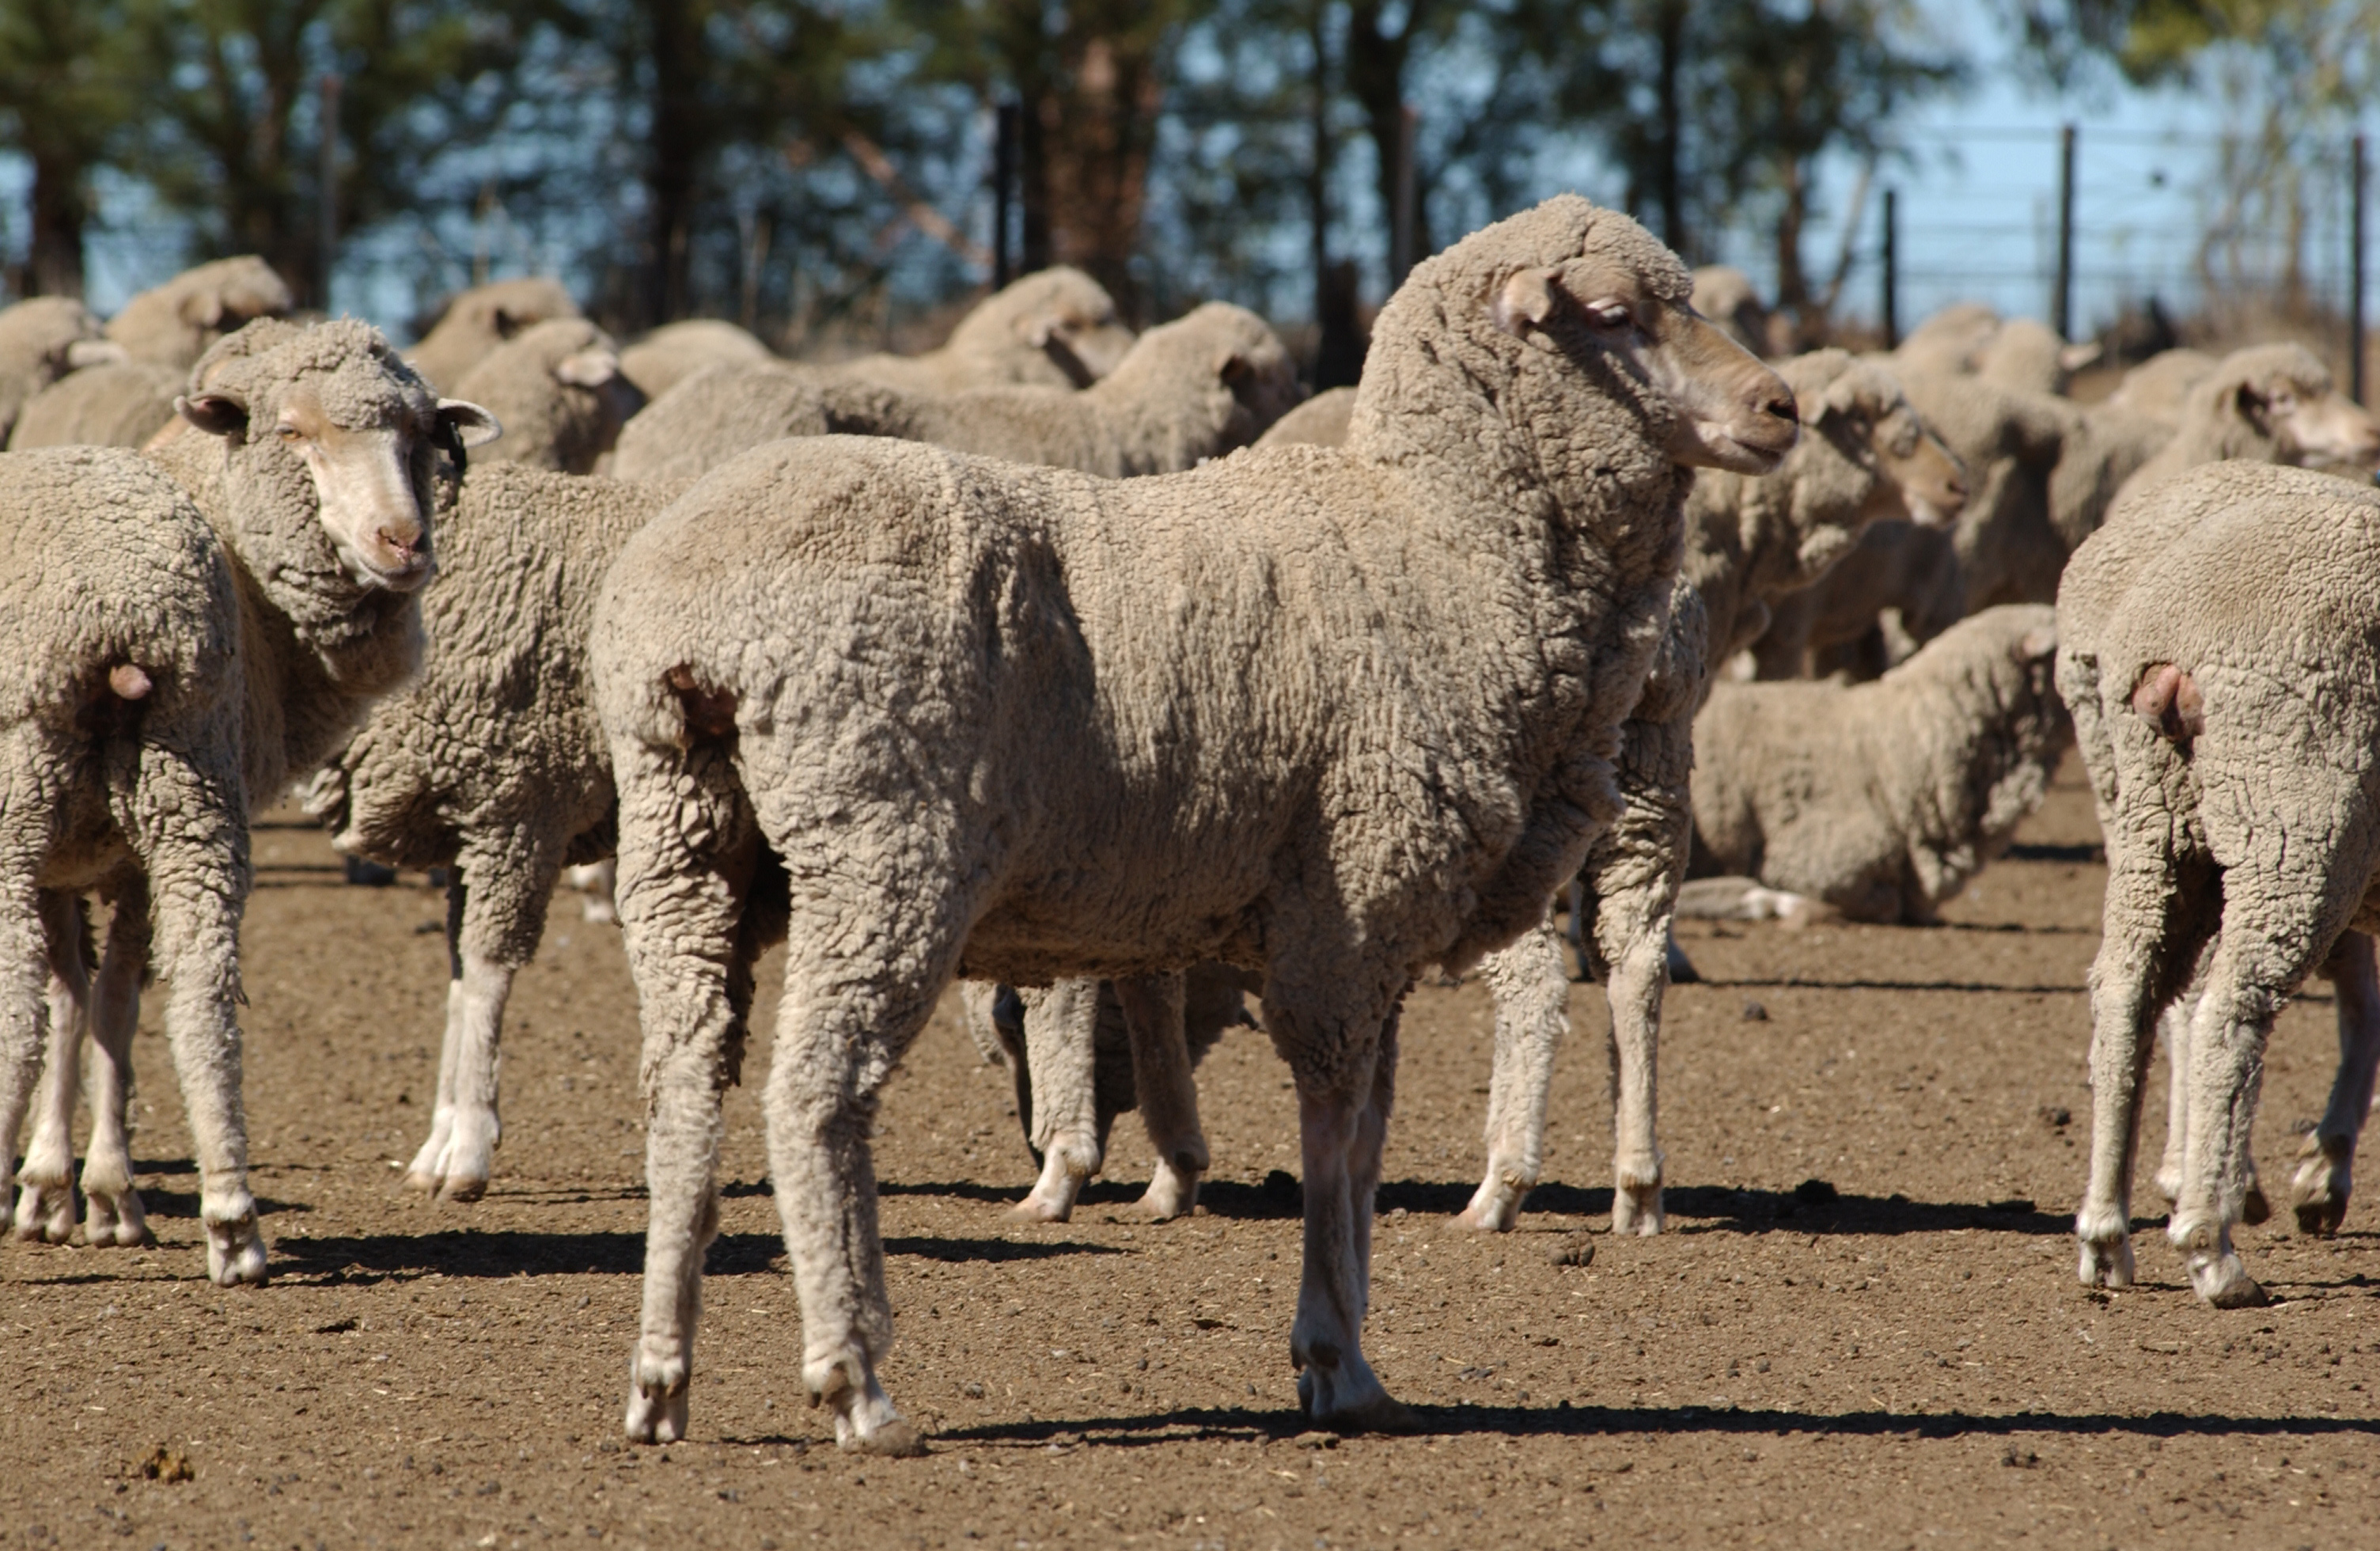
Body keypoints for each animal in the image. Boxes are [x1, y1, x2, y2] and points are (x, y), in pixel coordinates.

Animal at [1, 319, 497, 1282]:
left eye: (423, 436)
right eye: (293, 432)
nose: (404, 541)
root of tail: (121, 605)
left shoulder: (94, 858)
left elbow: (89, 1001)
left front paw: (68, 1190)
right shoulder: (95, 858)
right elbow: (91, 999)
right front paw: (65, 1187)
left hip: (95, 791)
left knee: (36, 1000)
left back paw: (182, 1207)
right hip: (176, 782)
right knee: (201, 988)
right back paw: (231, 1222)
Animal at [304, 464, 676, 1201]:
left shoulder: (520, 805)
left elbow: (484, 974)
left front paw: (469, 1149)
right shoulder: (464, 827)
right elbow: (455, 976)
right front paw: (440, 1141)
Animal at [2059, 461, 2380, 1308]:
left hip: (2159, 819)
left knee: (2129, 991)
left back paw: (2107, 1234)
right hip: (2296, 813)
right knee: (2229, 1007)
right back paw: (2211, 1240)